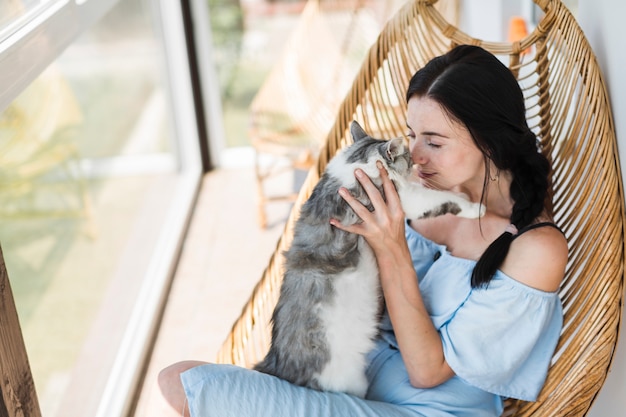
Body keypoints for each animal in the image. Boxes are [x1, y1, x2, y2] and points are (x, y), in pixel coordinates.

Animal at [252, 121, 482, 396]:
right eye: (408, 156)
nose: (416, 161)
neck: (356, 164)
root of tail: (278, 364)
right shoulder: (409, 198)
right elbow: (447, 200)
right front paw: (476, 208)